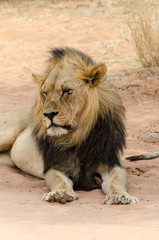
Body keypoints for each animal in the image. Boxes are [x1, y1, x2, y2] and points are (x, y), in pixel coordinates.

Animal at [0, 47, 138, 204]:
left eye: (66, 91)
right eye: (44, 93)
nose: (48, 114)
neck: (78, 135)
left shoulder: (110, 161)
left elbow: (117, 180)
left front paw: (120, 196)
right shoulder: (55, 165)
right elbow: (59, 180)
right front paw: (60, 193)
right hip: (7, 132)